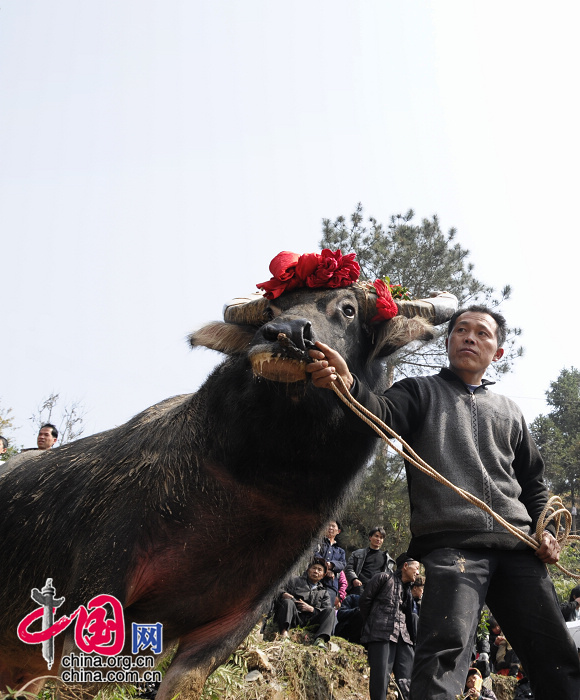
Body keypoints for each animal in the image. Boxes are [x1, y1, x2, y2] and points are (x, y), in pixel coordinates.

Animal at [0, 258, 456, 700]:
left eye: (347, 310)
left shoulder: (236, 619)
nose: (286, 333)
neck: (251, 487)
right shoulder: (100, 581)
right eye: (271, 311)